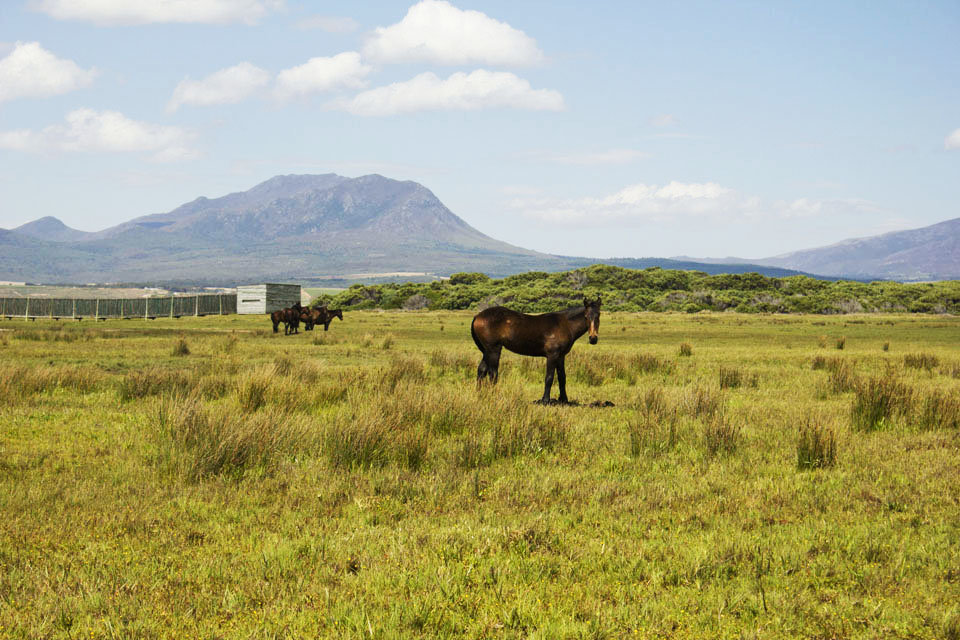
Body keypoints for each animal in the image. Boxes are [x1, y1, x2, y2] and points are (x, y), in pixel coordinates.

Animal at [471, 297, 601, 404]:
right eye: (586, 317)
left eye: (598, 315)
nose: (593, 338)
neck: (565, 324)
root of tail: (478, 316)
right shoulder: (552, 355)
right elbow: (549, 377)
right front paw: (545, 400)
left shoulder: (561, 356)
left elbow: (562, 377)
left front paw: (564, 399)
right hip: (494, 350)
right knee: (493, 374)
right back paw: (493, 396)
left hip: (486, 351)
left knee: (481, 370)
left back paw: (480, 395)